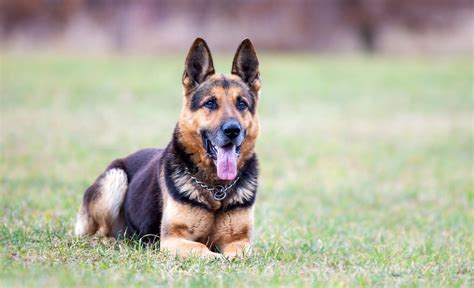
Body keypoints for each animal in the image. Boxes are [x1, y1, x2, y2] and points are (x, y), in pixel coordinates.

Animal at [74, 38, 262, 258]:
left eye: (241, 104)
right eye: (210, 103)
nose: (232, 130)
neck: (216, 190)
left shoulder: (240, 240)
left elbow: (239, 252)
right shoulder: (172, 238)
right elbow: (201, 248)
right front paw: (215, 257)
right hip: (115, 178)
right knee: (98, 233)